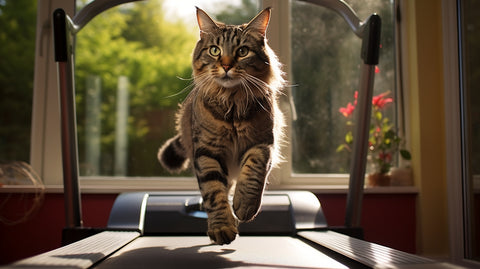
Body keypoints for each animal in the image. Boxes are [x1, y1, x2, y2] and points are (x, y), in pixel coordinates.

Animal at [158, 6, 284, 245]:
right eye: (215, 50)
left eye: (243, 51)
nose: (226, 65)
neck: (232, 103)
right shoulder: (207, 151)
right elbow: (214, 192)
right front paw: (222, 227)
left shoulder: (263, 144)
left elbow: (253, 174)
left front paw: (244, 206)